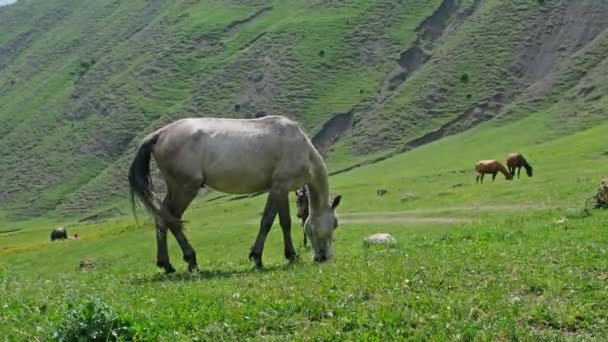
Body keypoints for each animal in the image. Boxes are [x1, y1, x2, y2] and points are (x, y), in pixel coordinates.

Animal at [127, 116, 340, 274]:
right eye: (336, 224)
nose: (325, 257)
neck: (301, 147)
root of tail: (160, 134)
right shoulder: (281, 187)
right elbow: (278, 222)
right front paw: (286, 256)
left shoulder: (276, 189)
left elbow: (273, 221)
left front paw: (263, 256)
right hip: (185, 188)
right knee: (171, 219)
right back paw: (191, 260)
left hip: (176, 188)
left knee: (162, 217)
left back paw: (167, 265)